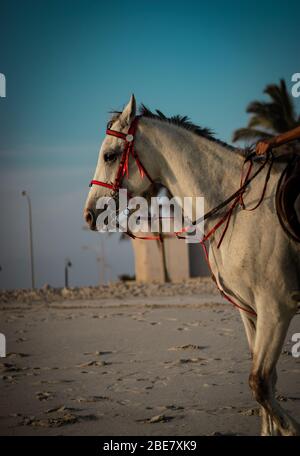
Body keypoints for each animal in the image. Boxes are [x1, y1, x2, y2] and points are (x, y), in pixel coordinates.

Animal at [84, 95, 300, 434]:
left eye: (109, 155)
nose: (90, 214)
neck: (239, 206)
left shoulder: (276, 307)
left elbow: (260, 383)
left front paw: (290, 427)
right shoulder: (251, 309)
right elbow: (268, 382)